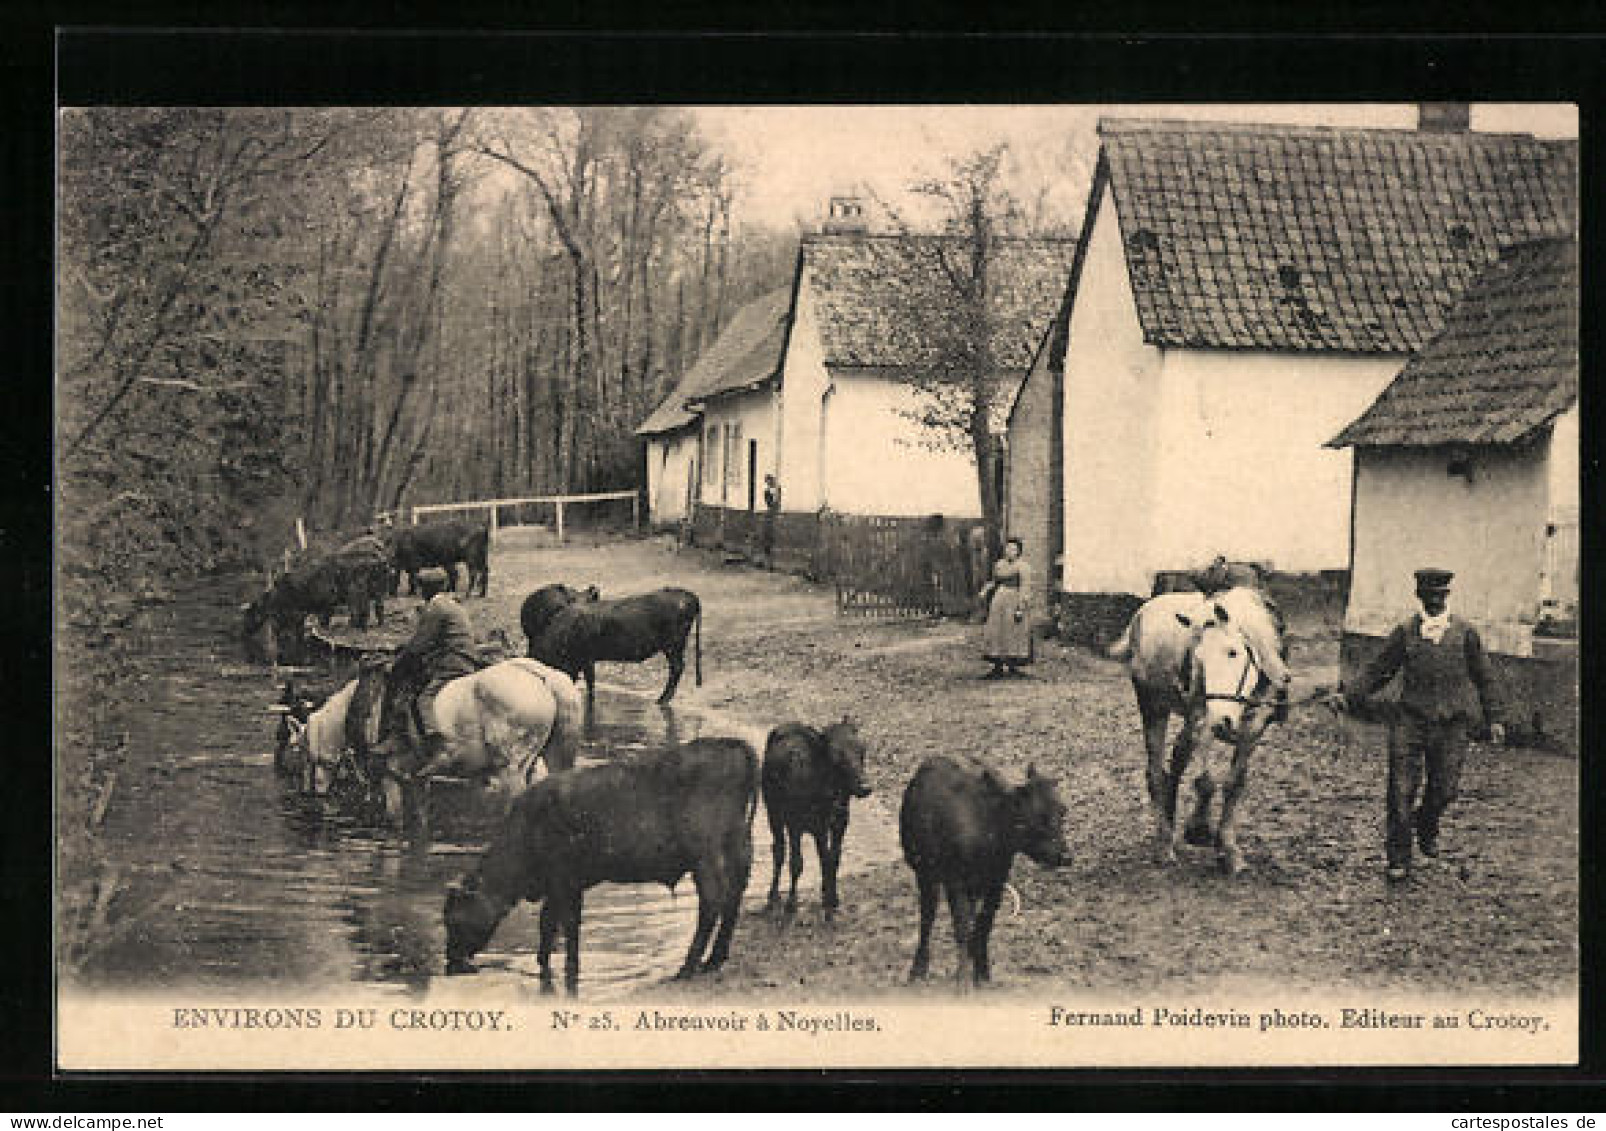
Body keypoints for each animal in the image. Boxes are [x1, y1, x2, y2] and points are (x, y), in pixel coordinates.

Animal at [443, 739, 761, 996]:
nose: (450, 962)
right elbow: (551, 923)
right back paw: (715, 960)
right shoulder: (564, 885)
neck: (528, 826)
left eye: (453, 919)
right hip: (737, 849)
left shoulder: (564, 881)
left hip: (704, 857)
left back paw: (687, 968)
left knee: (712, 901)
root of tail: (731, 744)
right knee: (733, 897)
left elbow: (564, 924)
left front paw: (569, 968)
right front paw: (544, 962)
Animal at [526, 587, 703, 703]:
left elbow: (590, 682)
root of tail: (690, 596)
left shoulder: (586, 658)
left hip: (674, 643)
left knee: (677, 667)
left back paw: (661, 700)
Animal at [761, 726, 873, 918]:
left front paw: (832, 899)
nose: (865, 787)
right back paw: (773, 897)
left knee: (822, 856)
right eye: (836, 755)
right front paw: (791, 903)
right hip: (773, 813)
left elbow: (832, 858)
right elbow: (796, 863)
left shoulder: (839, 822)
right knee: (779, 850)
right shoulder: (795, 823)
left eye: (862, 750)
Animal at [899, 755, 1072, 983]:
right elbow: (962, 927)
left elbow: (984, 927)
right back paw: (917, 970)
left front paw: (982, 975)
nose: (1065, 857)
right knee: (928, 917)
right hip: (925, 873)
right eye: (1038, 815)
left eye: (1062, 810)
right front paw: (962, 979)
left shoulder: (996, 882)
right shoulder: (956, 882)